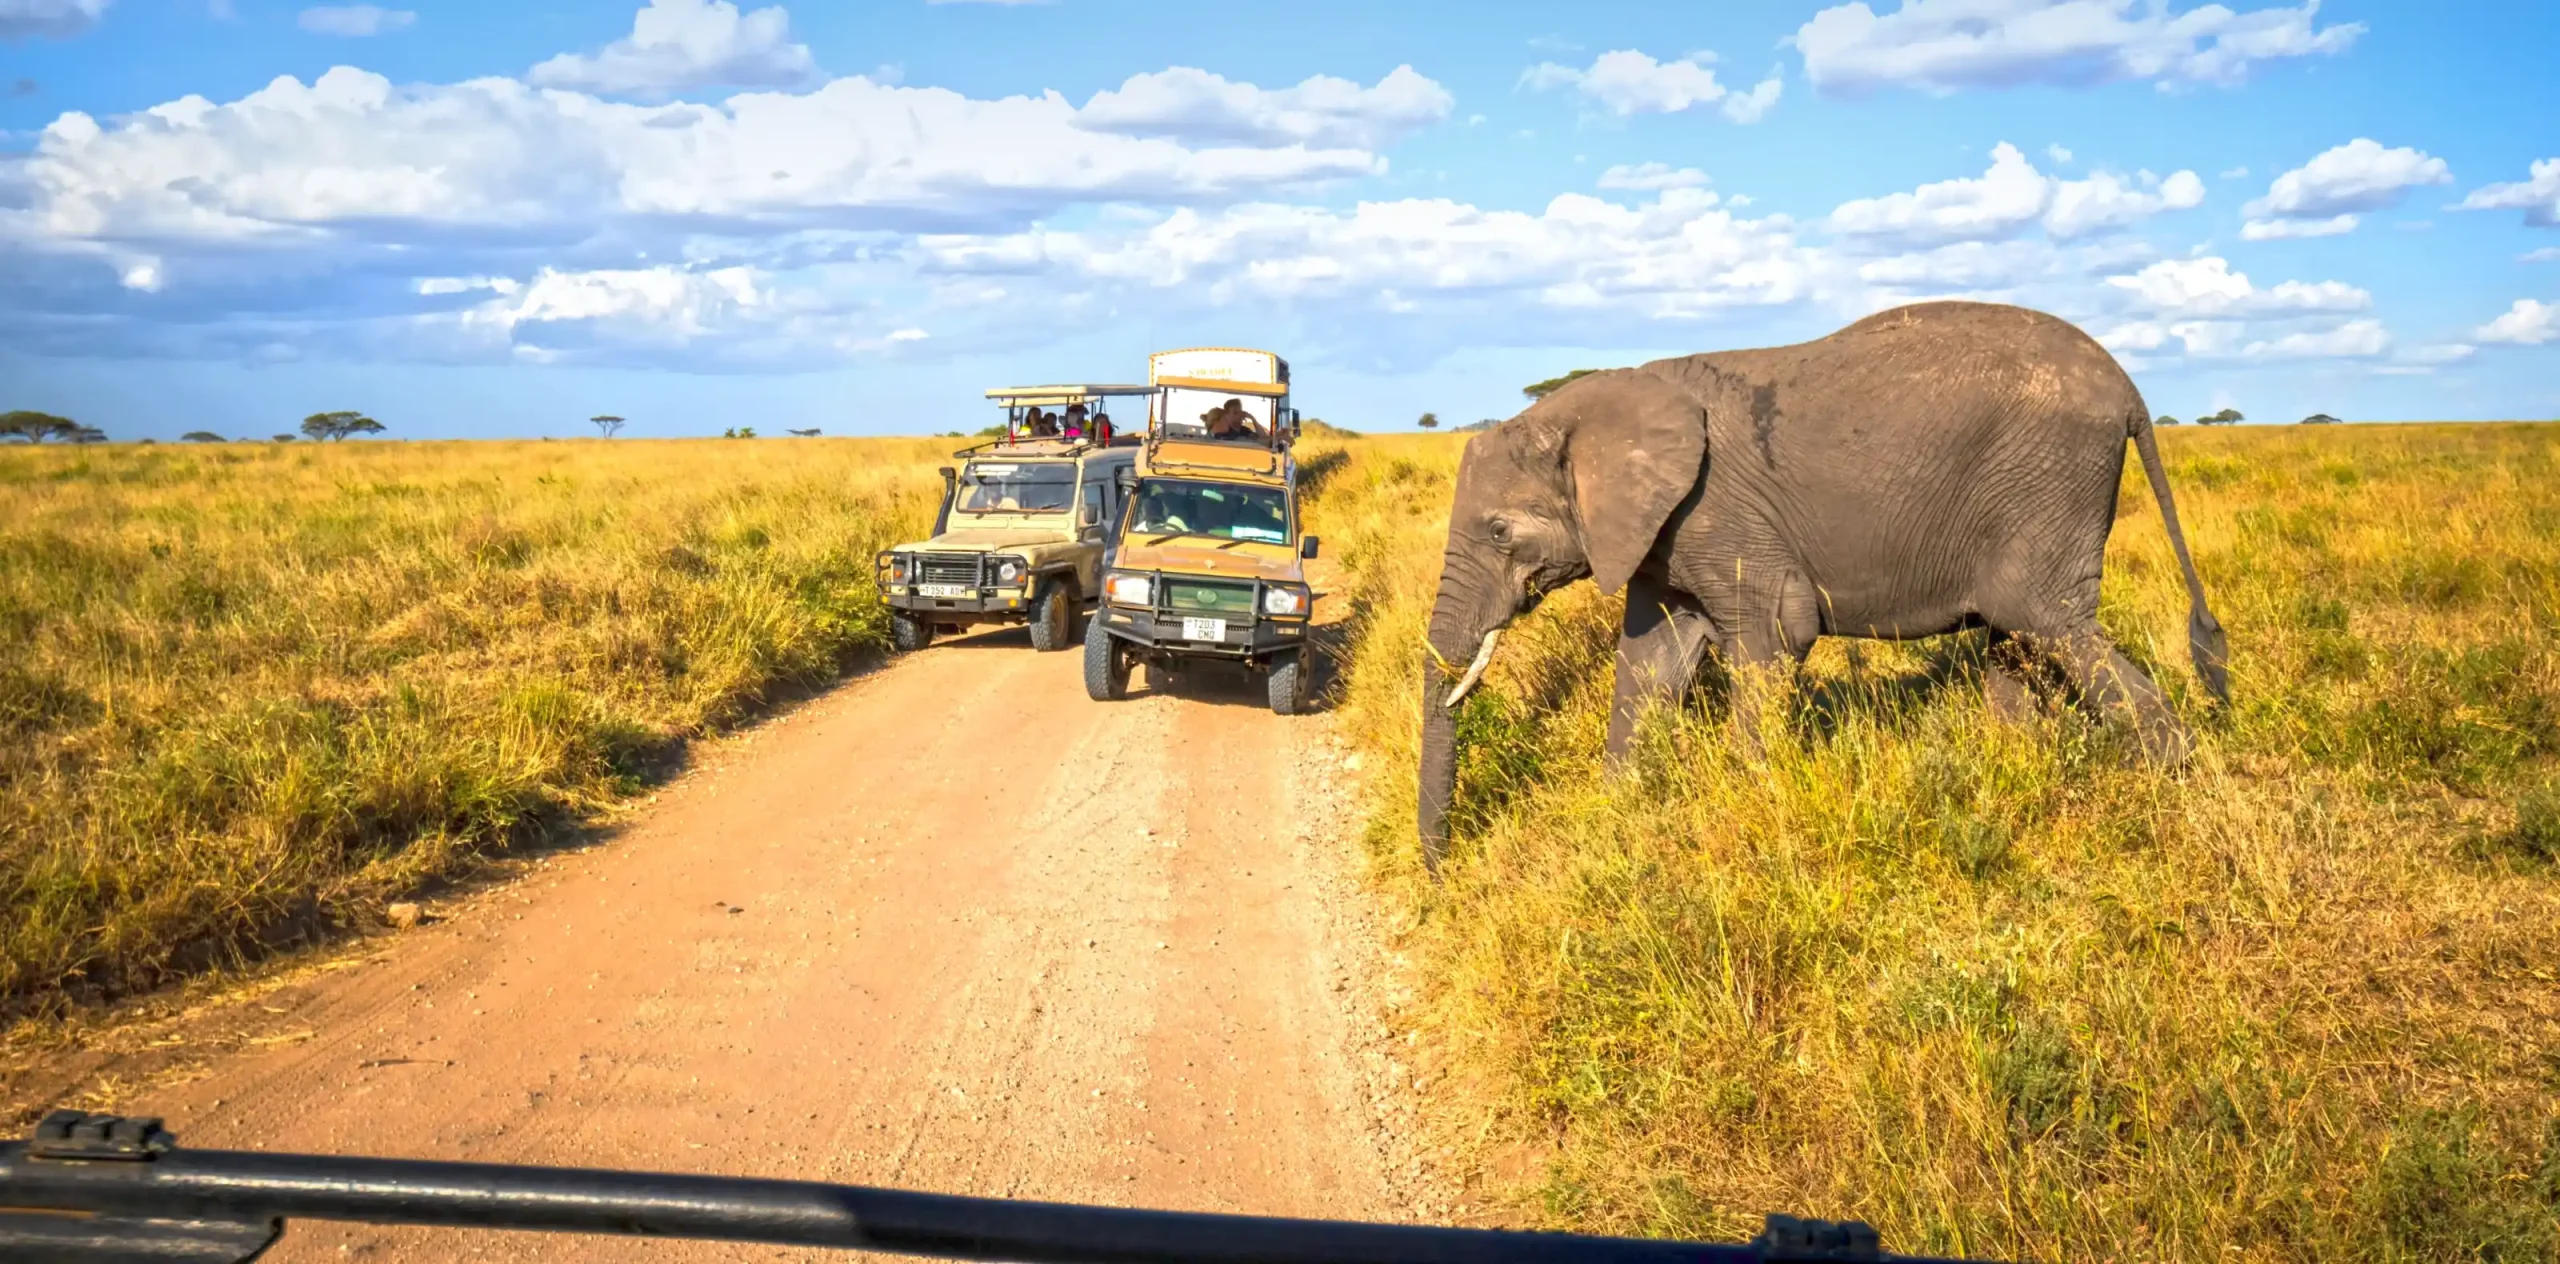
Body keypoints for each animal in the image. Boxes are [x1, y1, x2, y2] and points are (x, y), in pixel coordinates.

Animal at [1416, 301, 2229, 870]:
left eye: (1498, 531)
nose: (1441, 875)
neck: (1583, 408)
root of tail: (2130, 391)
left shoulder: (1717, 512)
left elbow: (1778, 631)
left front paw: (1746, 803)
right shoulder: (1660, 535)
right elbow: (1650, 662)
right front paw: (1617, 817)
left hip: (2048, 482)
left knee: (2054, 626)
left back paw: (2177, 787)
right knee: (2016, 641)